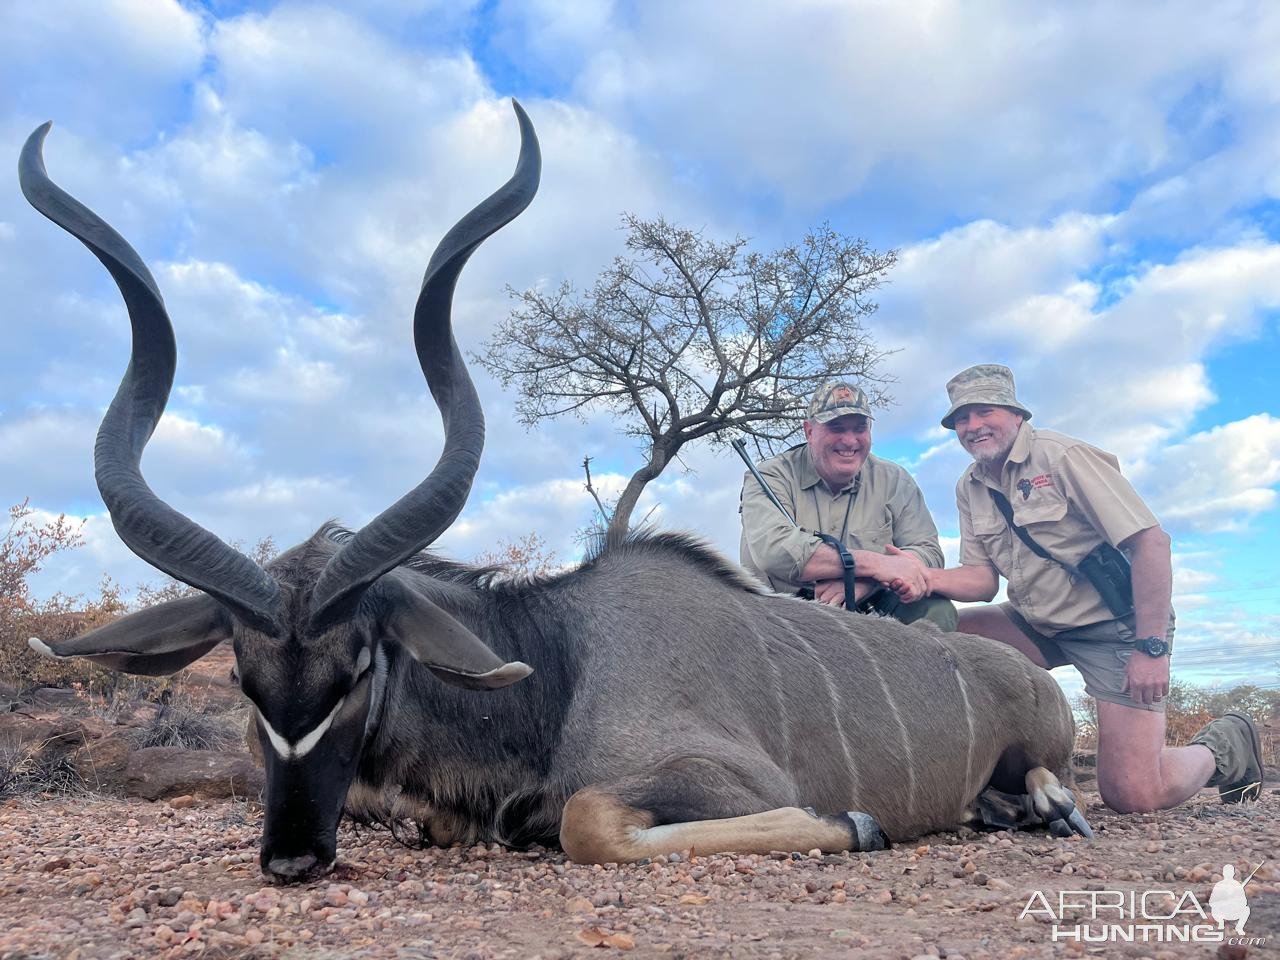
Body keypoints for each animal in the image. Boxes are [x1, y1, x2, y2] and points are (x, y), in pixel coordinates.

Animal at [20, 101, 1090, 885]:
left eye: (360, 665)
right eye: (242, 677)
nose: (289, 858)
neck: (556, 667)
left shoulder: (723, 777)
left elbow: (586, 820)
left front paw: (860, 820)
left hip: (1042, 737)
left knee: (1050, 778)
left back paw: (1046, 804)